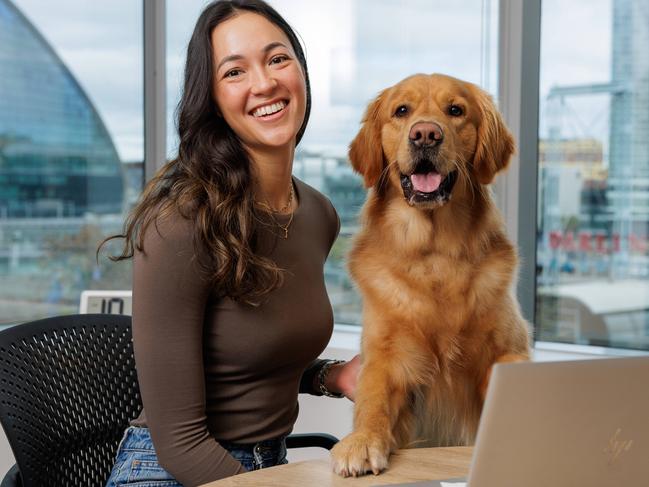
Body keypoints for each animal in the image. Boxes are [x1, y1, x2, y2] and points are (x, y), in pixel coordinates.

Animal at [332, 74, 528, 478]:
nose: (425, 135)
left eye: (455, 110)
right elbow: (373, 399)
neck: (435, 253)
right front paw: (362, 441)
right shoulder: (385, 357)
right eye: (401, 111)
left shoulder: (507, 350)